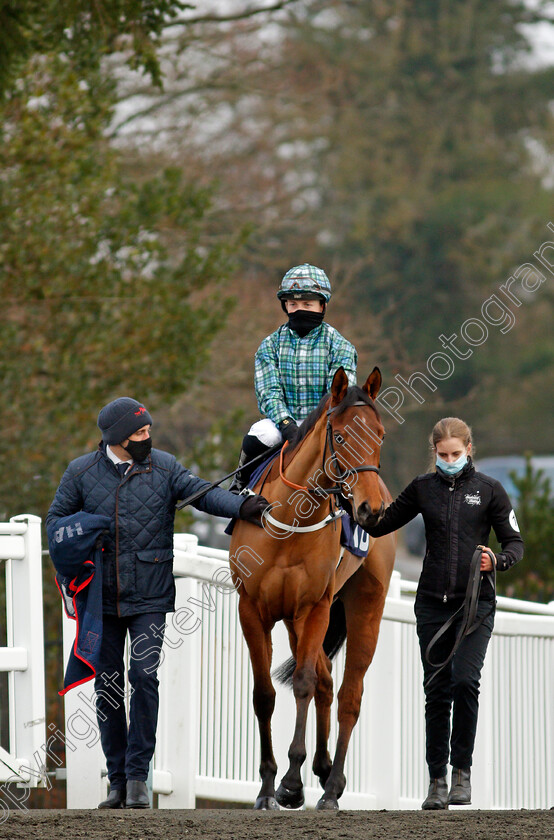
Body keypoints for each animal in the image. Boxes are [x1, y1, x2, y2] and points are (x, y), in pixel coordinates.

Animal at [226, 366, 394, 808]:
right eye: (341, 437)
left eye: (380, 435)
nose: (372, 510)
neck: (291, 520)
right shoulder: (253, 609)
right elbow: (264, 694)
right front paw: (267, 786)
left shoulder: (314, 606)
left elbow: (302, 682)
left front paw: (290, 781)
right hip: (293, 621)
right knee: (327, 679)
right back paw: (321, 767)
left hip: (364, 605)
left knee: (348, 694)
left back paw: (331, 786)